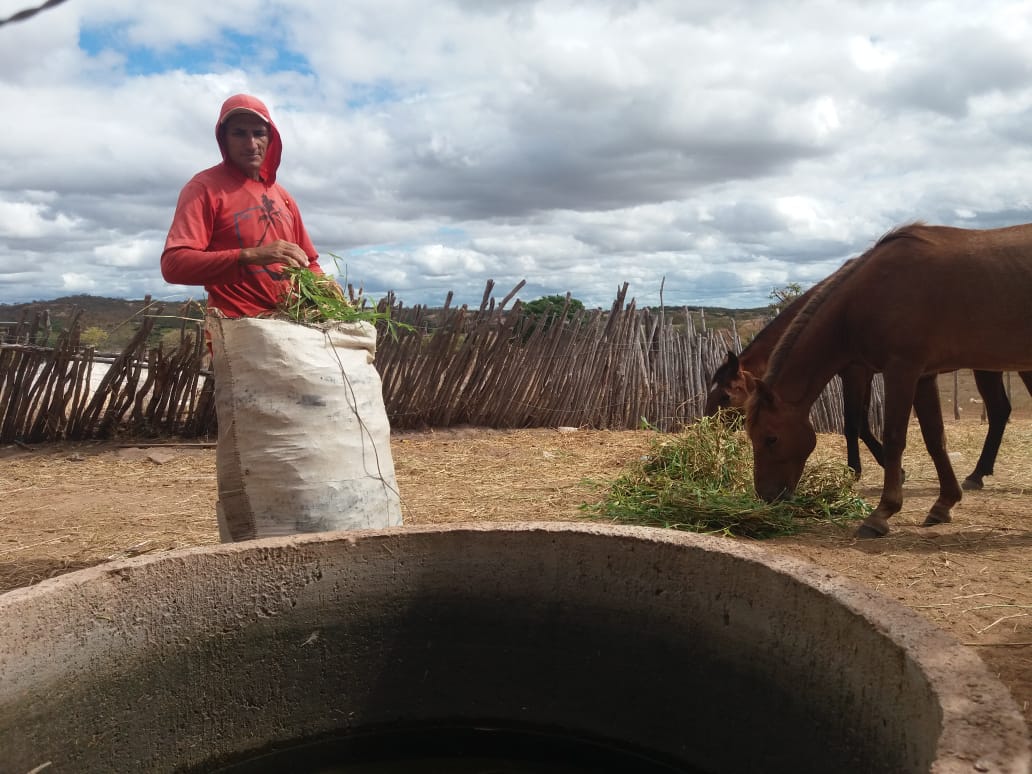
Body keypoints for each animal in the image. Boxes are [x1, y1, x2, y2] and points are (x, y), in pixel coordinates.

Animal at [747, 222, 1032, 540]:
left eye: (771, 438)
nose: (767, 496)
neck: (870, 293)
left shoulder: (901, 370)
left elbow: (894, 438)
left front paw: (882, 513)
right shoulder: (923, 376)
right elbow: (935, 438)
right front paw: (944, 503)